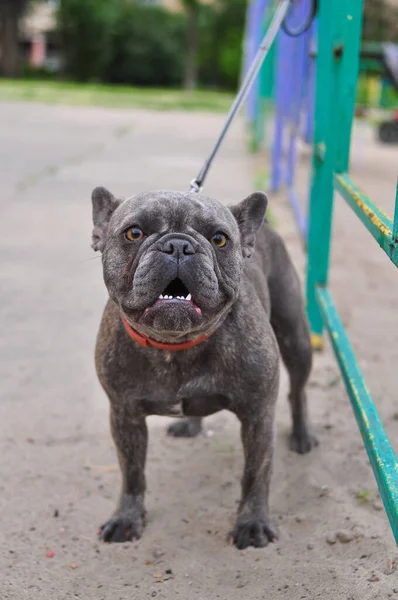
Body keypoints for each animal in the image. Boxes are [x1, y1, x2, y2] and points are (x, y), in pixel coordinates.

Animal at [92, 188, 318, 548]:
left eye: (219, 239)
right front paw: (126, 517)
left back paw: (301, 435)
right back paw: (190, 424)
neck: (176, 345)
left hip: (295, 337)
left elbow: (256, 473)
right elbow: (132, 472)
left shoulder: (258, 415)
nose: (178, 245)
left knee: (298, 392)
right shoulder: (124, 415)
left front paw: (252, 524)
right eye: (134, 232)